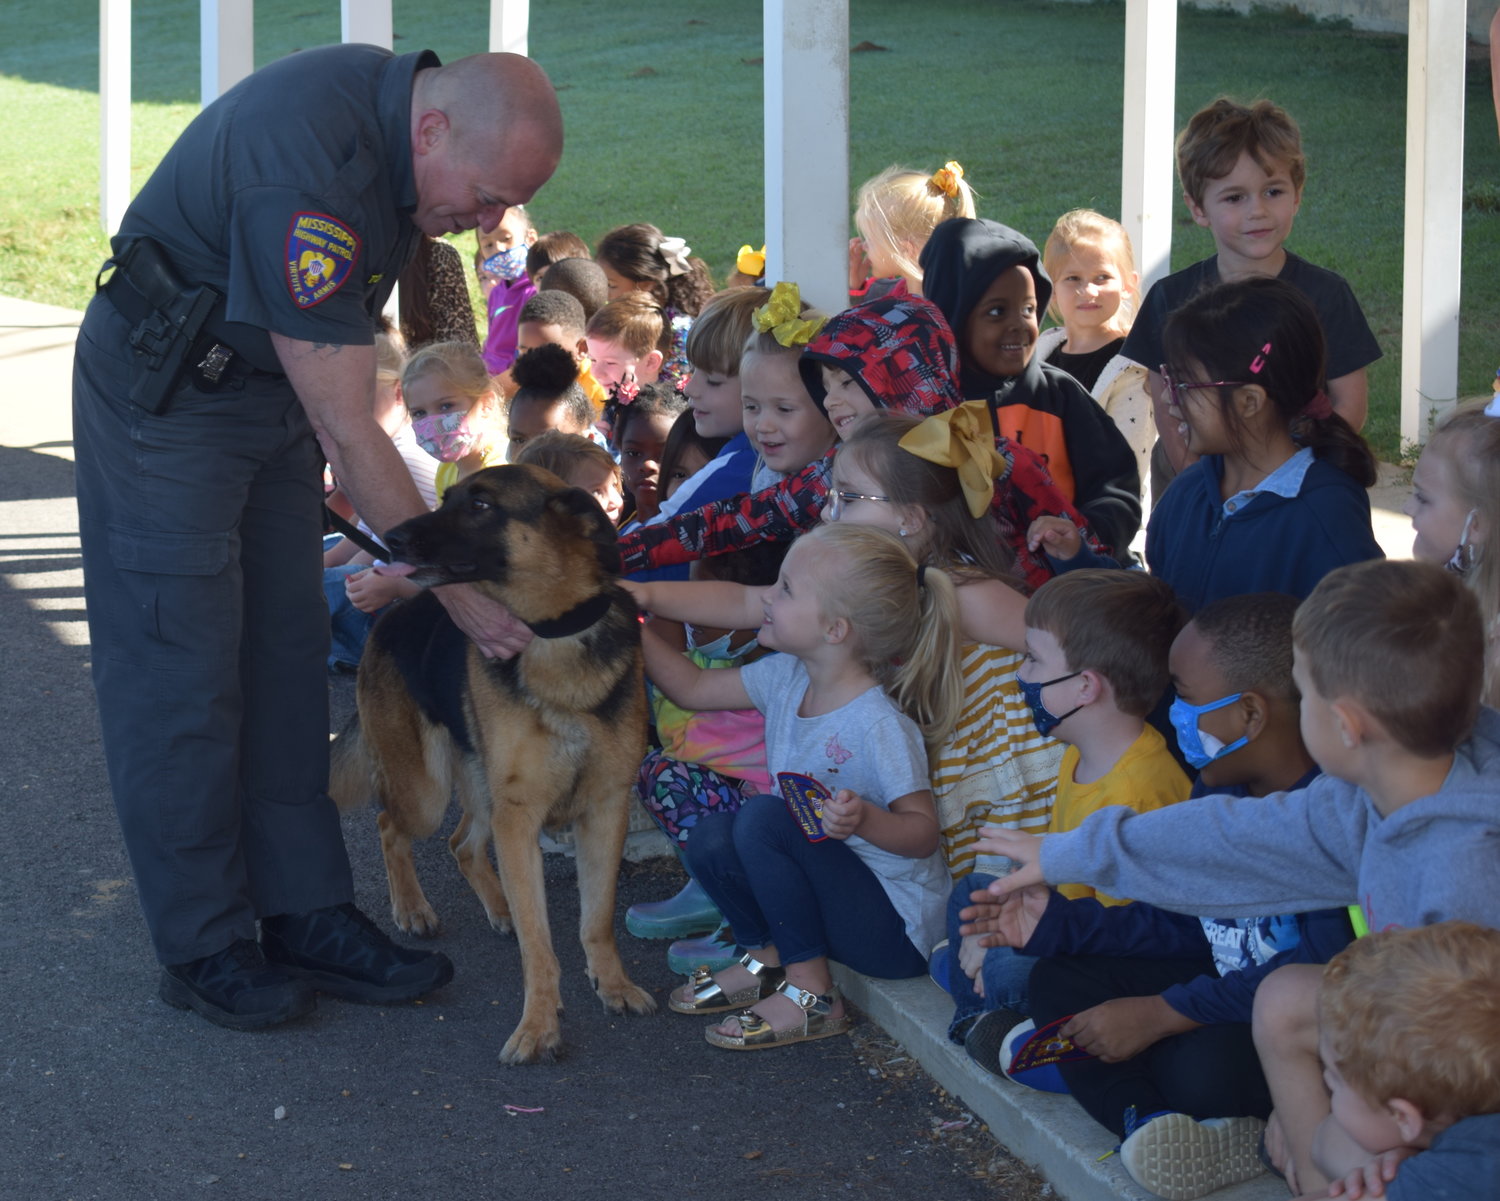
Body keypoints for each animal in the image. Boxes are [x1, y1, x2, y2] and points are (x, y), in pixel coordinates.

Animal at [331, 464, 660, 1061]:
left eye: (481, 505)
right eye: (446, 499)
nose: (391, 538)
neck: (552, 633)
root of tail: (392, 615)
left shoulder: (604, 811)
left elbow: (597, 918)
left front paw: (613, 985)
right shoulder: (520, 815)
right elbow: (539, 940)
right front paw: (538, 1025)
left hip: (483, 792)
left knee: (462, 843)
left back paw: (498, 905)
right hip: (428, 792)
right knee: (390, 824)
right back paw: (412, 908)